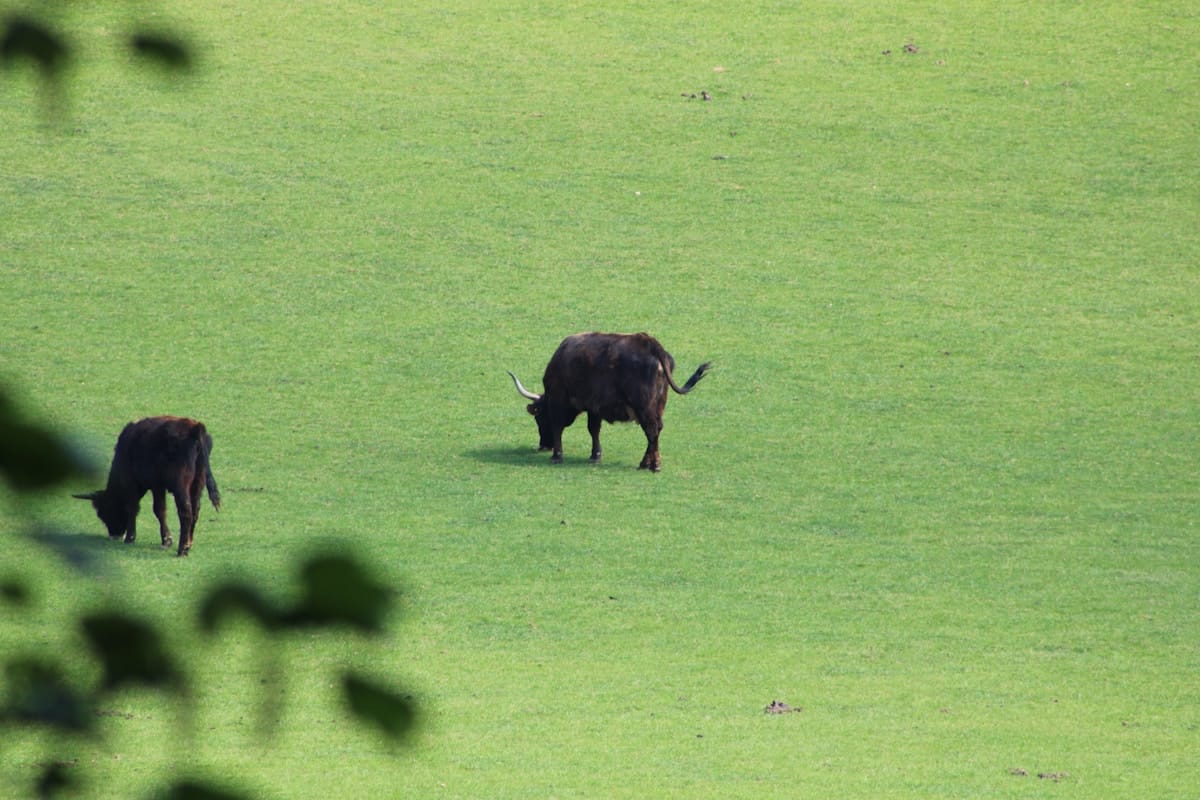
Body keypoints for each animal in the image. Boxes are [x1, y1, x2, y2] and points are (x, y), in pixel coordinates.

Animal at [74, 416, 221, 556]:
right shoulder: (158, 486)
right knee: (196, 510)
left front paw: (132, 538)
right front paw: (166, 540)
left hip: (181, 484)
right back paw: (188, 544)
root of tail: (195, 427)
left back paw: (182, 549)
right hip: (198, 483)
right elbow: (160, 510)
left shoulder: (137, 482)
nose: (114, 535)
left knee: (185, 511)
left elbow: (141, 508)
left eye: (102, 512)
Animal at [508, 332, 711, 471]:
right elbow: (594, 429)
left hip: (644, 406)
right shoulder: (594, 407)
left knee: (651, 431)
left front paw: (557, 455)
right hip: (658, 405)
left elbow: (560, 427)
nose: (543, 445)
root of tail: (650, 343)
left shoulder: (560, 401)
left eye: (539, 418)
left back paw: (651, 464)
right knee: (656, 431)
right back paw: (648, 463)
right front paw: (595, 455)